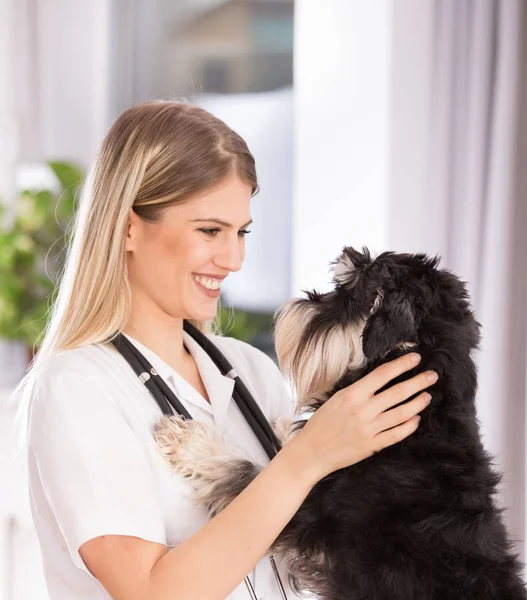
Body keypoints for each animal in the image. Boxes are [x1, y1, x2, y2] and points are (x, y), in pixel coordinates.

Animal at [153, 246, 527, 596]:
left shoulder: (302, 514)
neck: (428, 417)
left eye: (348, 295)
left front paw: (189, 441)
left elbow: (239, 471)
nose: (294, 305)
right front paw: (286, 430)